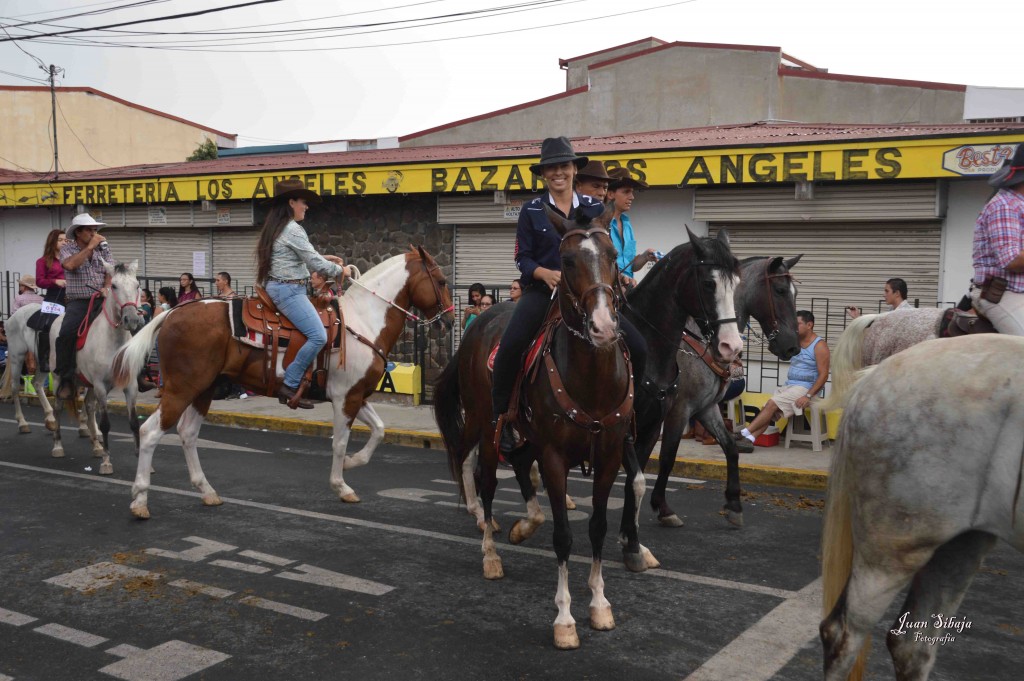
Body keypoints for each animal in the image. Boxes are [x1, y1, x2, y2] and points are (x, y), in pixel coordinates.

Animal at [0, 260, 146, 473]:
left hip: (48, 367)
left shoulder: (130, 385)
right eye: (114, 286)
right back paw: (41, 434)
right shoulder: (100, 385)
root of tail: (14, 315)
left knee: (39, 385)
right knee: (34, 397)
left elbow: (134, 422)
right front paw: (106, 462)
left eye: (136, 285)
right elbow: (105, 423)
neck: (113, 341)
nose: (133, 319)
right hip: (26, 360)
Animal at [109, 246, 456, 518]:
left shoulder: (357, 395)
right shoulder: (346, 398)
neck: (363, 321)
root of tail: (171, 314)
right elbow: (340, 442)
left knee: (187, 434)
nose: (451, 320)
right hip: (182, 389)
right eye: (440, 281)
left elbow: (380, 430)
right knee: (150, 432)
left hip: (204, 389)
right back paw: (140, 500)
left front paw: (354, 463)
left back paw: (206, 491)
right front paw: (341, 485)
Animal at [434, 220, 745, 651]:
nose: (731, 347)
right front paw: (565, 618)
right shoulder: (559, 453)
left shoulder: (628, 440)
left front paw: (622, 563)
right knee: (484, 477)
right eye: (708, 282)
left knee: (518, 465)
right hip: (487, 421)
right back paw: (489, 545)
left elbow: (619, 501)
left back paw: (525, 523)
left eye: (737, 282)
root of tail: (478, 322)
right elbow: (568, 533)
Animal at [643, 254, 802, 524]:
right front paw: (662, 507)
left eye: (795, 292)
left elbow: (730, 447)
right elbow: (667, 457)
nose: (793, 346)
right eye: (780, 290)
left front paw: (734, 504)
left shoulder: (706, 408)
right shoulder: (679, 410)